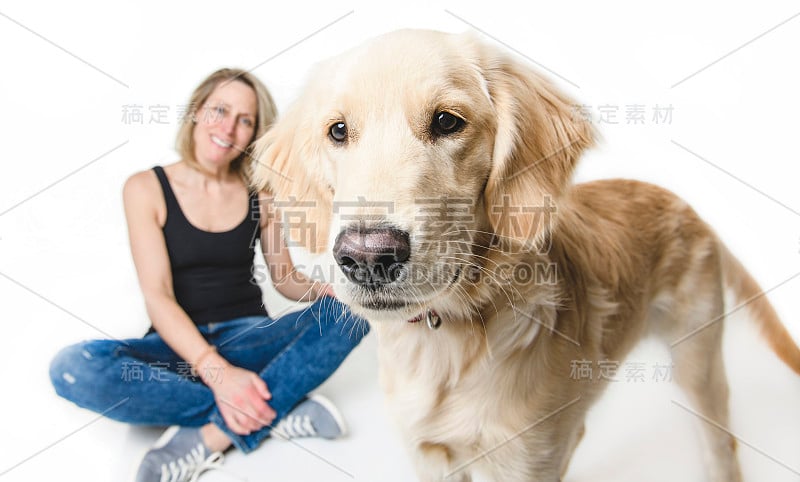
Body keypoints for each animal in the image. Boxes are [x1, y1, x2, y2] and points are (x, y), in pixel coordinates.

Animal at [255, 31, 800, 482]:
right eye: (338, 131)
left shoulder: (531, 458)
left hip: (698, 362)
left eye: (447, 121)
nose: (368, 257)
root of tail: (690, 207)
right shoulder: (430, 455)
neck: (449, 340)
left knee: (722, 444)